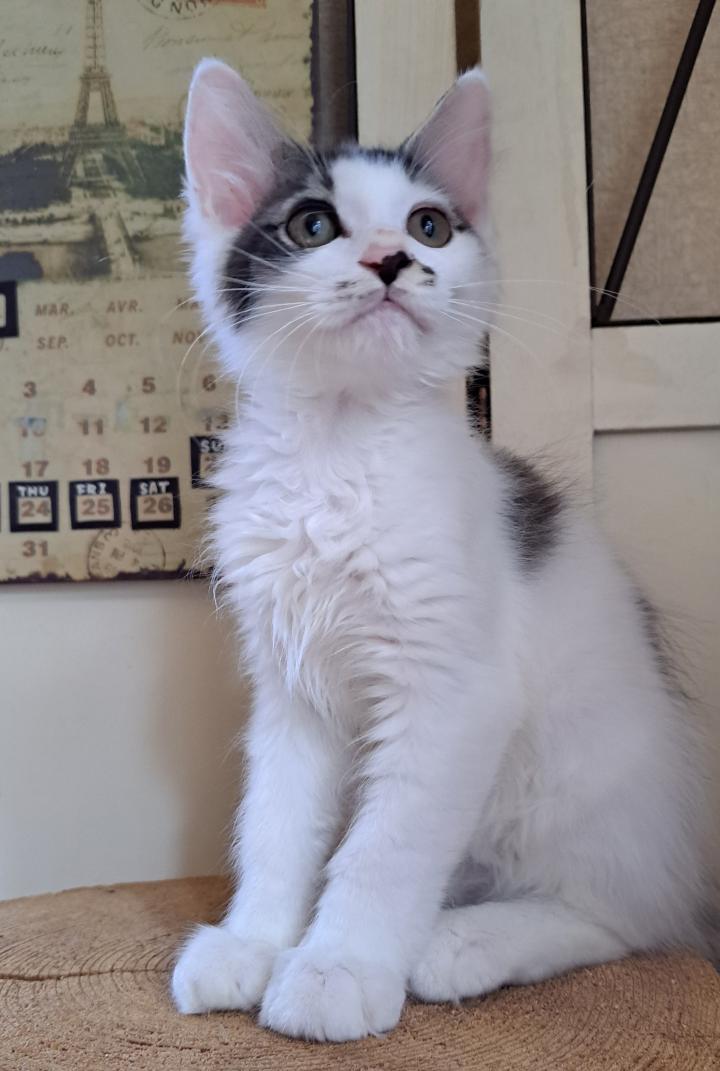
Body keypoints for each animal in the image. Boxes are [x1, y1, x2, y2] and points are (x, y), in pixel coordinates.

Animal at [171, 59, 713, 1042]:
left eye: (429, 225)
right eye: (313, 224)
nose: (393, 259)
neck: (337, 453)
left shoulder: (452, 694)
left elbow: (383, 849)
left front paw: (337, 966)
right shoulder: (292, 694)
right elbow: (275, 827)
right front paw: (255, 940)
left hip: (572, 782)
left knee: (622, 917)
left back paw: (459, 942)